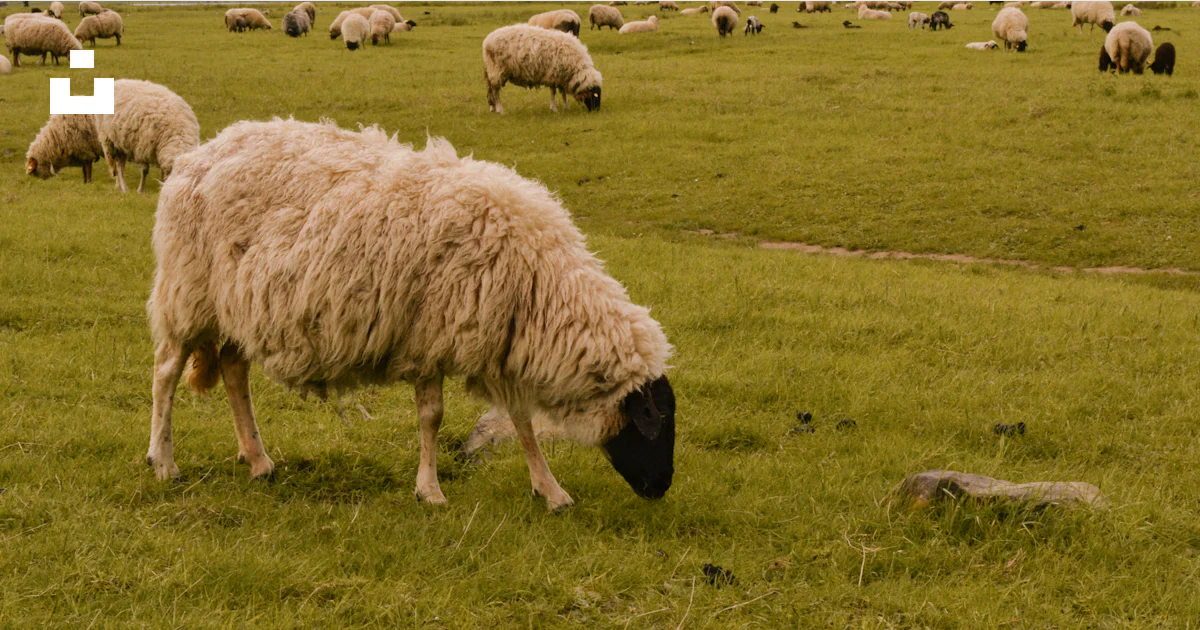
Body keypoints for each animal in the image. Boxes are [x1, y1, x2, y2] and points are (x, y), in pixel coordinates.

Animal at [146, 119, 676, 510]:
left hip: (238, 305)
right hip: (188, 290)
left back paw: (258, 460)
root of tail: (200, 154)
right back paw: (164, 462)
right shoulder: (432, 337)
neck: (536, 281)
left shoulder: (497, 346)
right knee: (166, 371)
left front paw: (551, 491)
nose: (661, 488)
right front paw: (431, 491)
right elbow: (432, 418)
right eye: (652, 421)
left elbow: (522, 423)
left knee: (234, 371)